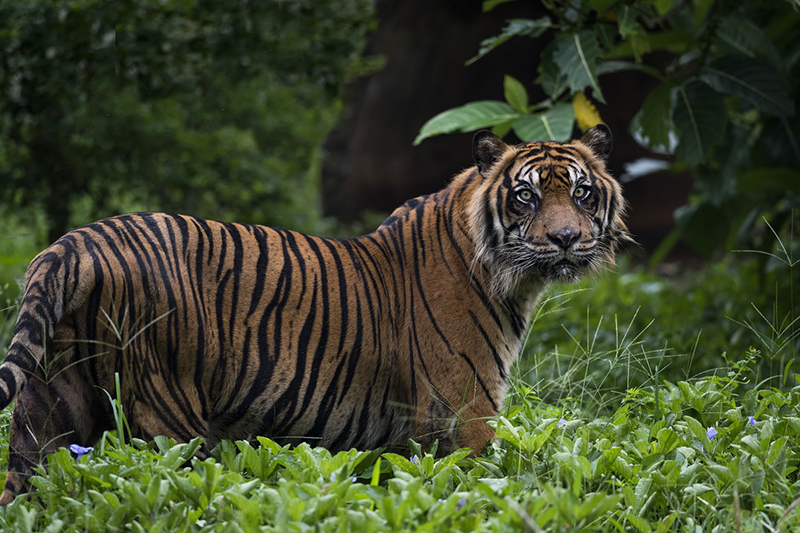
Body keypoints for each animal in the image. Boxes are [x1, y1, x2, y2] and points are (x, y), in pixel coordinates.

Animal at [0, 124, 624, 502]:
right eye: (526, 197)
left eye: (582, 193)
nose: (566, 239)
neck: (511, 279)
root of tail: (74, 243)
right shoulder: (466, 413)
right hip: (169, 416)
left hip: (47, 414)